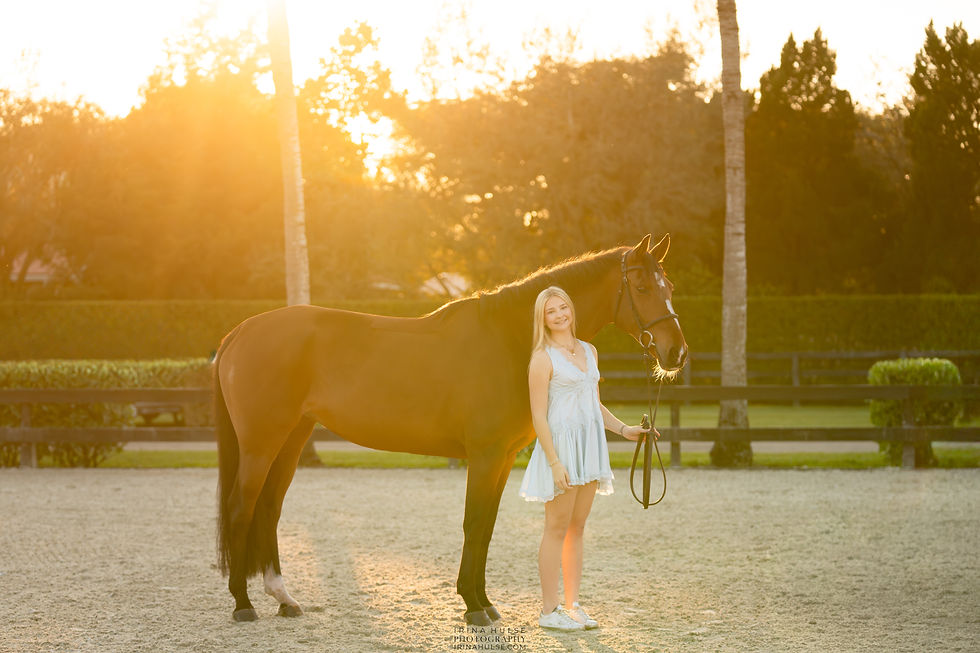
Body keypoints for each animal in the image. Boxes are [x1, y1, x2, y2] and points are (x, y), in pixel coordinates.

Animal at [213, 233, 688, 624]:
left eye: (669, 288)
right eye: (642, 288)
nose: (677, 353)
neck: (511, 340)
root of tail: (240, 331)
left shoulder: (502, 459)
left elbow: (487, 527)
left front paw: (485, 602)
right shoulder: (485, 456)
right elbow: (473, 523)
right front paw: (473, 606)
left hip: (292, 438)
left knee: (269, 509)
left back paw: (283, 598)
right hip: (261, 443)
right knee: (241, 508)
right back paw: (243, 604)